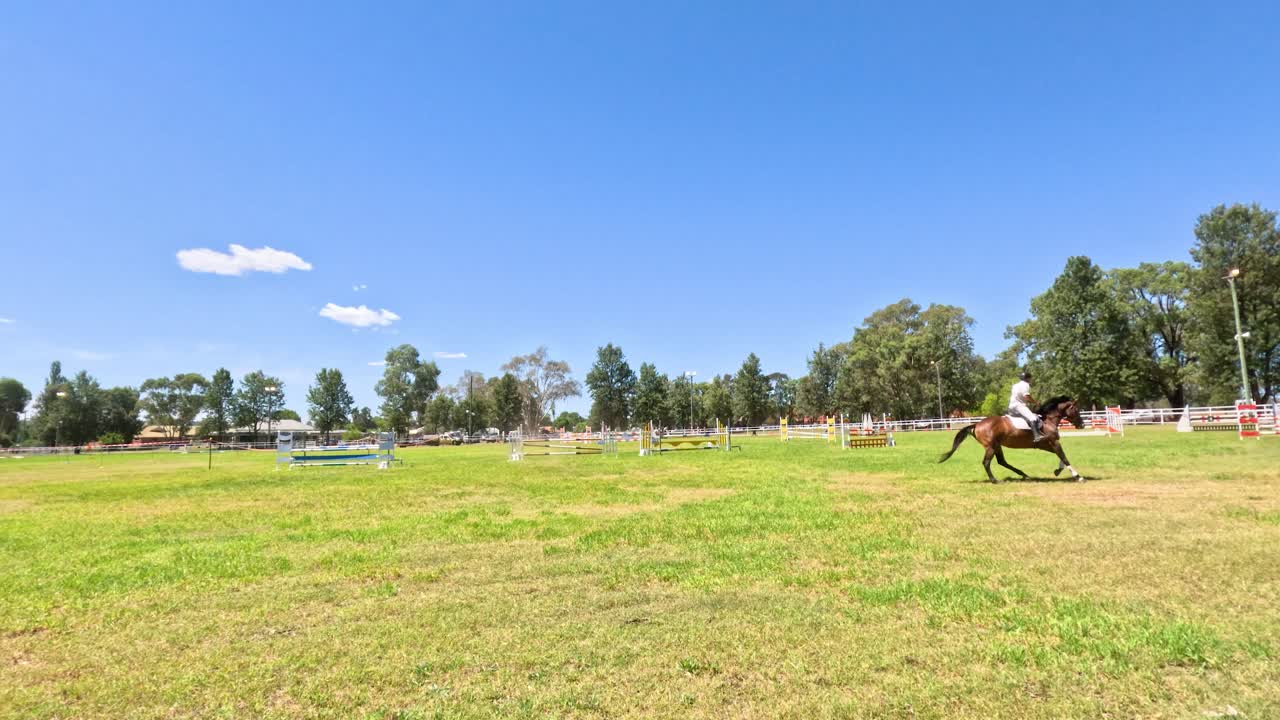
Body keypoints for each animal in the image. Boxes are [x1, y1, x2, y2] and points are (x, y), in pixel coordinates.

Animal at [937, 396, 1088, 482]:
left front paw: (1058, 471)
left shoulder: (1047, 444)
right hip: (990, 446)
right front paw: (1078, 477)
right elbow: (1064, 457)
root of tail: (977, 424)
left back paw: (1023, 474)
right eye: (1076, 410)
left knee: (1002, 461)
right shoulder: (1053, 442)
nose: (1082, 425)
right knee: (986, 462)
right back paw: (994, 480)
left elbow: (1061, 457)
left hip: (997, 445)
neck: (1047, 420)